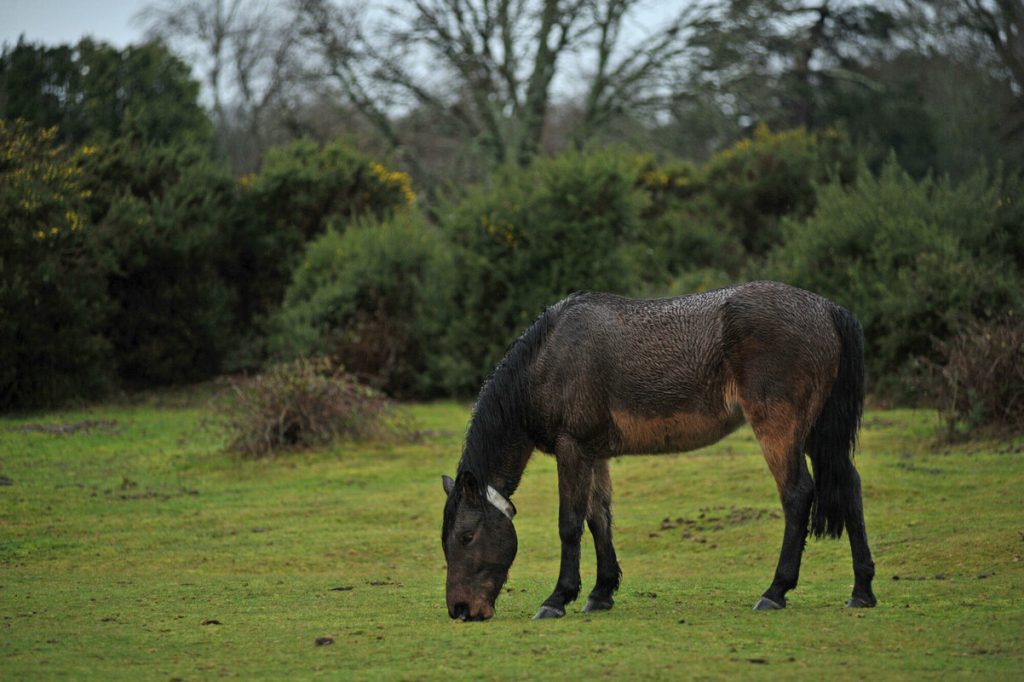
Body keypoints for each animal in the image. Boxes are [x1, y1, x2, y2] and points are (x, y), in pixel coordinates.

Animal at [440, 281, 876, 621]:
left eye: (465, 536)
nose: (460, 610)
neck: (547, 358)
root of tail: (827, 309)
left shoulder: (572, 447)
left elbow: (570, 523)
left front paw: (558, 597)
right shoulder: (594, 453)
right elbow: (599, 519)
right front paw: (601, 592)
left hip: (779, 429)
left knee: (797, 494)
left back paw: (775, 591)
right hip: (817, 432)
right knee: (850, 487)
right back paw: (862, 590)